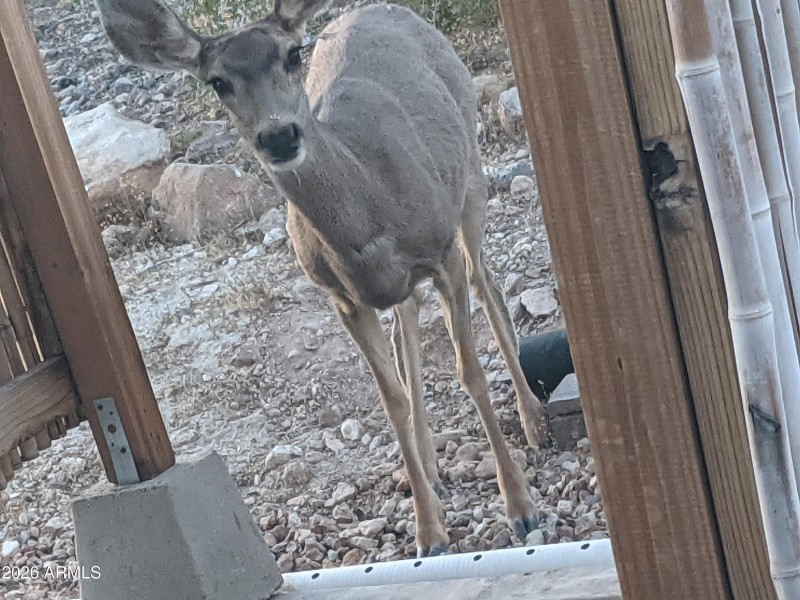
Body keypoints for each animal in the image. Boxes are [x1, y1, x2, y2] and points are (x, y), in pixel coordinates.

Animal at [95, 0, 549, 557]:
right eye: (217, 82)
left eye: (293, 54)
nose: (279, 134)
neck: (370, 206)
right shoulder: (340, 296)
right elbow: (391, 399)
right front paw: (428, 532)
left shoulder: (441, 253)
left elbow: (471, 373)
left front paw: (522, 509)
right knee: (408, 316)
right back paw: (430, 468)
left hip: (469, 179)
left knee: (487, 282)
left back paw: (533, 422)